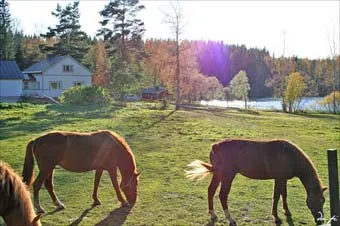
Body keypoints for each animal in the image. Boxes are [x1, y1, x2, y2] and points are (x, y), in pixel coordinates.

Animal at [186, 139, 326, 225]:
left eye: (323, 201)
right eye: (316, 201)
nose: (320, 220)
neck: (290, 156)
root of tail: (215, 146)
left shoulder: (283, 179)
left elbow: (284, 195)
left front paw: (286, 211)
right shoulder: (279, 179)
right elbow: (276, 196)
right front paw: (276, 217)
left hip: (218, 174)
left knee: (211, 191)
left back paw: (213, 214)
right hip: (227, 176)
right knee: (222, 195)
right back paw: (230, 219)